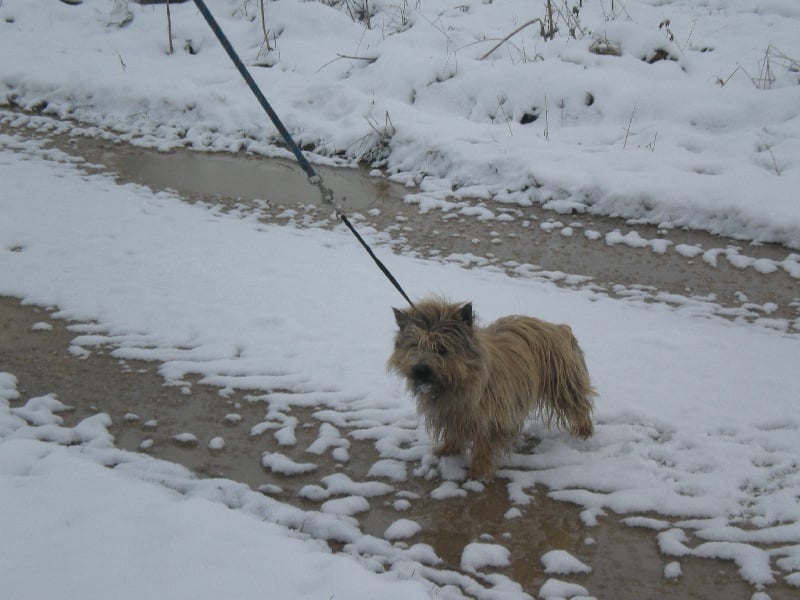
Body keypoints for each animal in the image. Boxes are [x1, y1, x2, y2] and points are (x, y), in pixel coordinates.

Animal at [388, 298, 592, 480]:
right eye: (413, 345)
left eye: (441, 348)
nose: (419, 370)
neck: (456, 383)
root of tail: (559, 328)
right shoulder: (452, 412)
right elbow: (453, 431)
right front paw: (448, 450)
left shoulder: (491, 417)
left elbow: (484, 444)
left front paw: (478, 472)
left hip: (563, 382)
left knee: (578, 406)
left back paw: (584, 432)